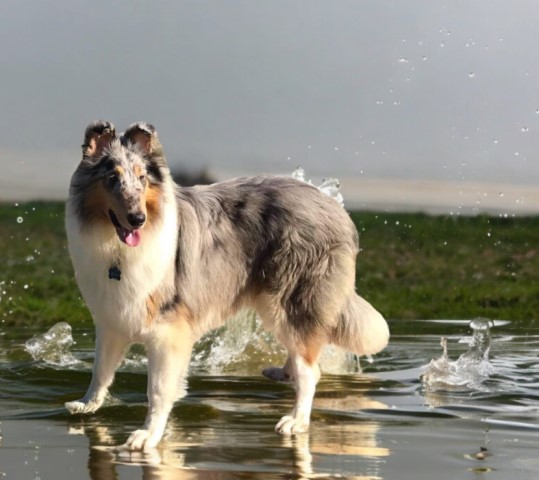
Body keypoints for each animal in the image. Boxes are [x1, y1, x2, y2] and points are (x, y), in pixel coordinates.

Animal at [65, 120, 390, 450]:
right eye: (111, 179)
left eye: (142, 179)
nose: (137, 219)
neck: (116, 248)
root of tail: (336, 209)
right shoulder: (112, 320)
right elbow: (100, 370)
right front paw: (88, 404)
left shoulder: (167, 331)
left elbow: (157, 389)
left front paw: (147, 435)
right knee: (303, 357)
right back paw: (283, 373)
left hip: (288, 301)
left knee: (311, 370)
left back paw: (296, 421)